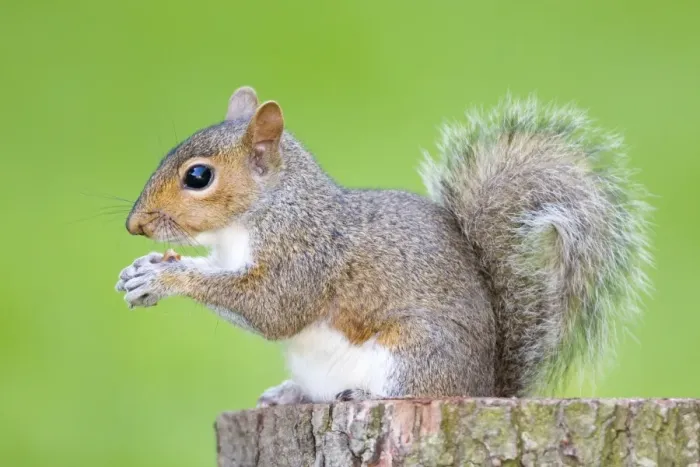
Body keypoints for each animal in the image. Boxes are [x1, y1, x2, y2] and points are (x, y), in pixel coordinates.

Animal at [115, 86, 650, 405]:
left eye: (198, 177)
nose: (134, 225)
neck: (254, 218)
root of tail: (486, 389)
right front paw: (142, 267)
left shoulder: (306, 254)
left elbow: (273, 309)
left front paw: (164, 276)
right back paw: (290, 394)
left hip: (413, 355)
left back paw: (368, 397)